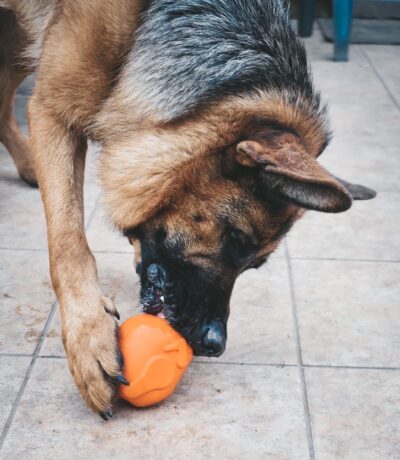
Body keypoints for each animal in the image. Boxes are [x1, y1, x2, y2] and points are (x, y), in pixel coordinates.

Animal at [0, 0, 376, 418]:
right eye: (234, 238)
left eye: (254, 264)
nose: (214, 344)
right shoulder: (51, 110)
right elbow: (69, 243)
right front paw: (89, 338)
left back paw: (27, 165)